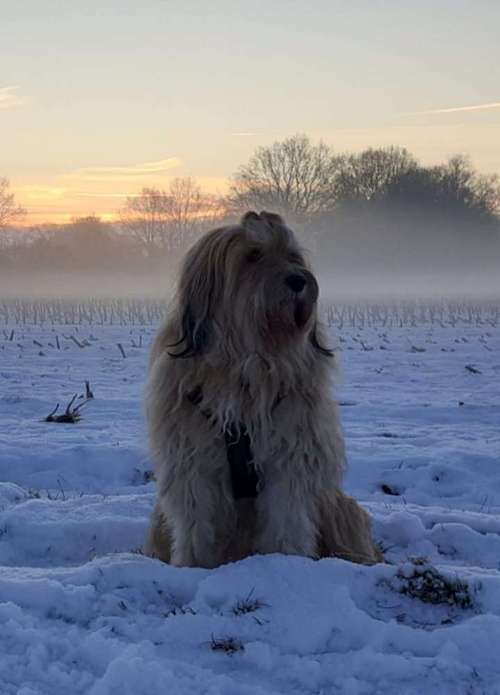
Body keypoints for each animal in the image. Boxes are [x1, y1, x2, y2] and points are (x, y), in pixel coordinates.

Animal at [145, 211, 382, 564]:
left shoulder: (290, 454)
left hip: (337, 506)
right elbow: (196, 519)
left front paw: (285, 562)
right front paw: (194, 565)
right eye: (253, 256)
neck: (250, 360)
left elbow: (287, 515)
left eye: (293, 256)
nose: (298, 281)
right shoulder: (193, 461)